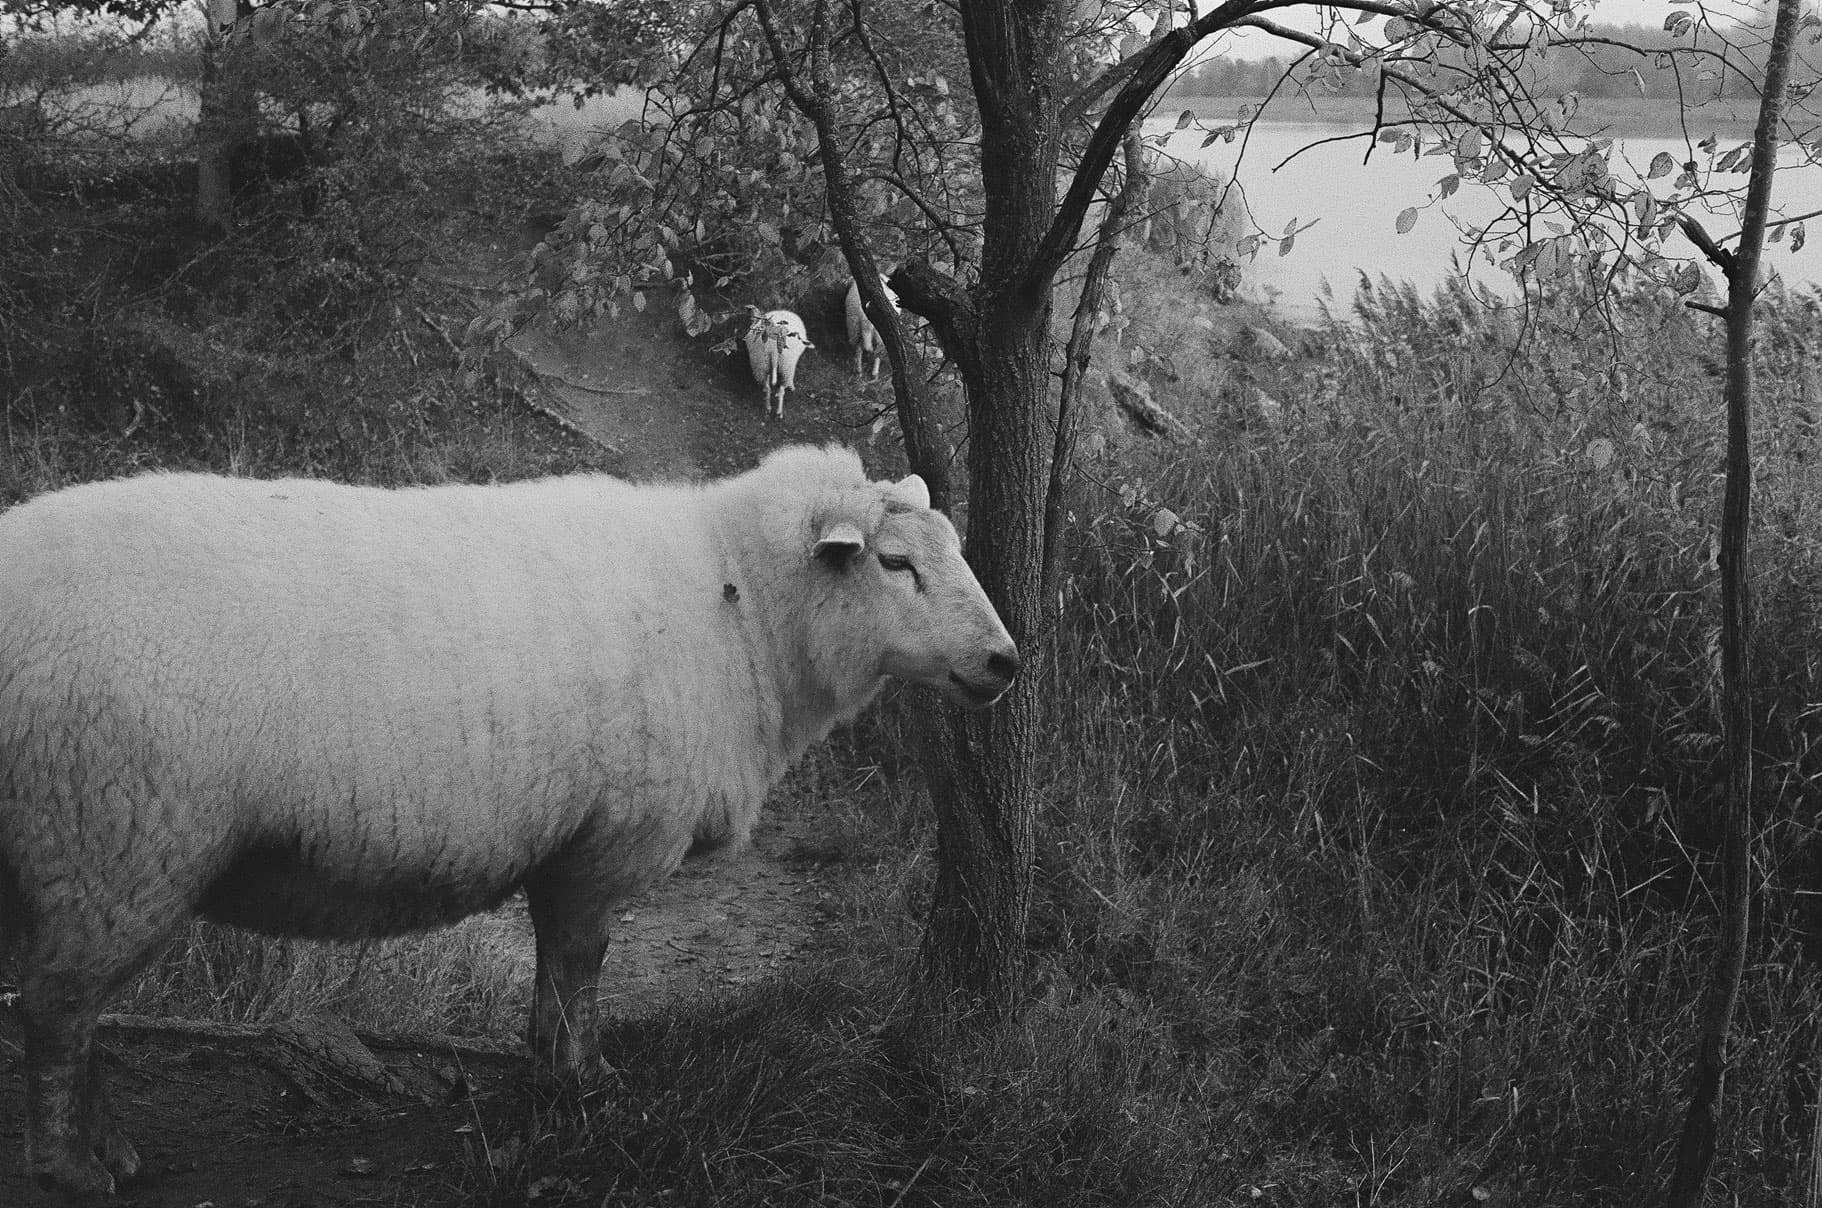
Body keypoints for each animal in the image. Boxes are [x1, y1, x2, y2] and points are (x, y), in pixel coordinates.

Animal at [0, 445, 1019, 1197]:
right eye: (895, 563)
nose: (1006, 661)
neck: (741, 608)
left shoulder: (569, 843)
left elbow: (554, 965)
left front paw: (546, 1064)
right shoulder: (610, 838)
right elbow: (583, 962)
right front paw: (585, 1084)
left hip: (93, 849)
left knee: (74, 1008)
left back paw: (110, 1149)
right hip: (113, 828)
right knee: (56, 1010)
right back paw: (72, 1169)